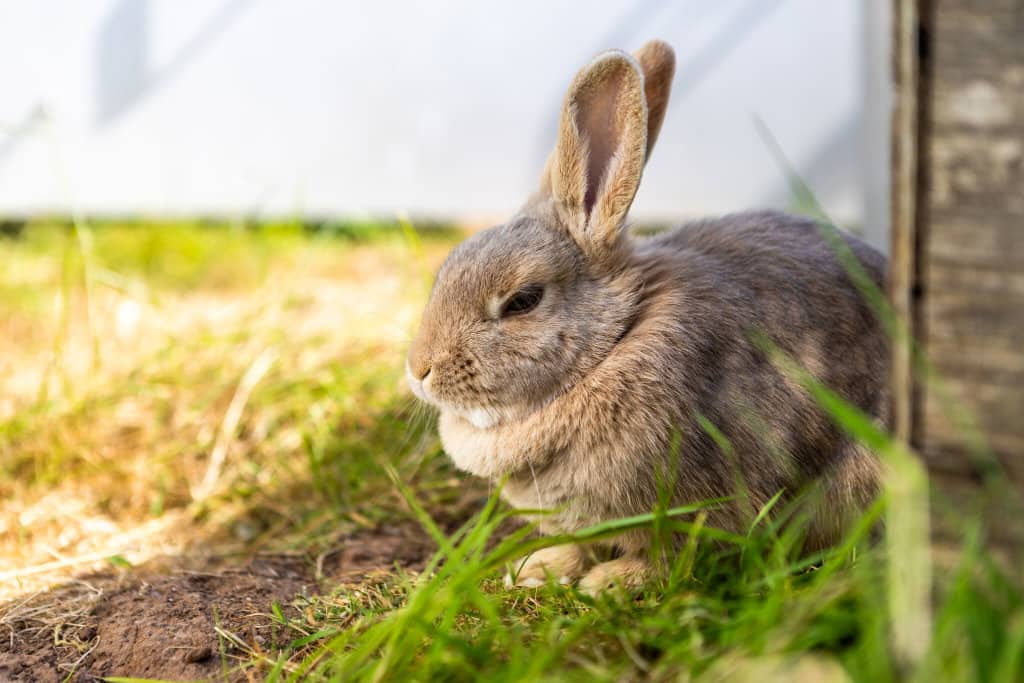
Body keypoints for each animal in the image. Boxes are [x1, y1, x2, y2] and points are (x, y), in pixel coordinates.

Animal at [406, 40, 887, 594]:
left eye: (523, 300)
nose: (419, 370)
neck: (615, 342)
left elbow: (673, 555)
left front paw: (612, 583)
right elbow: (580, 545)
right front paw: (540, 569)